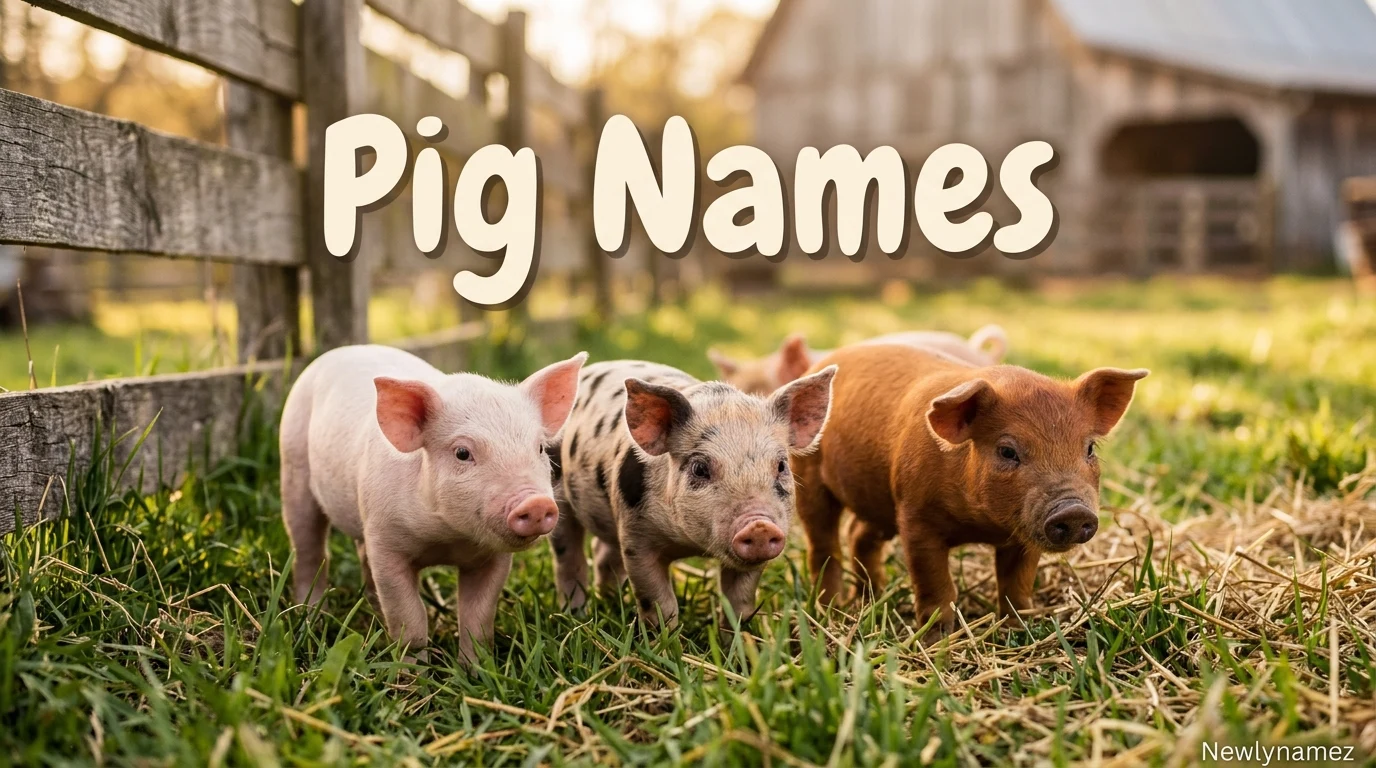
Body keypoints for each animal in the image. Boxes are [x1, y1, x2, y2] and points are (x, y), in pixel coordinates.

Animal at [279, 344, 586, 661]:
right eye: (462, 453)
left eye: (540, 448)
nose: (537, 503)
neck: (447, 538)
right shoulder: (385, 541)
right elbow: (409, 619)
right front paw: (412, 668)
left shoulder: (494, 558)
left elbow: (478, 619)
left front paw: (474, 668)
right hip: (292, 464)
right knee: (309, 550)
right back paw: (312, 618)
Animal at [547, 360, 837, 626]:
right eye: (700, 469)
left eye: (781, 466)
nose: (759, 527)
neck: (690, 545)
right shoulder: (635, 537)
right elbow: (658, 601)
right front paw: (663, 642)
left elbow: (739, 603)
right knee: (568, 557)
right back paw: (574, 615)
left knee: (602, 553)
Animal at [791, 344, 1146, 636]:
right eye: (1007, 451)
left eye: (1090, 448)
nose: (1073, 510)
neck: (980, 525)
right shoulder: (915, 517)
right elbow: (935, 584)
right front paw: (938, 639)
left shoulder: (1023, 533)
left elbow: (1016, 585)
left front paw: (1022, 628)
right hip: (808, 476)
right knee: (823, 545)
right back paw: (831, 607)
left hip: (878, 502)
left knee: (858, 535)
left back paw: (871, 596)